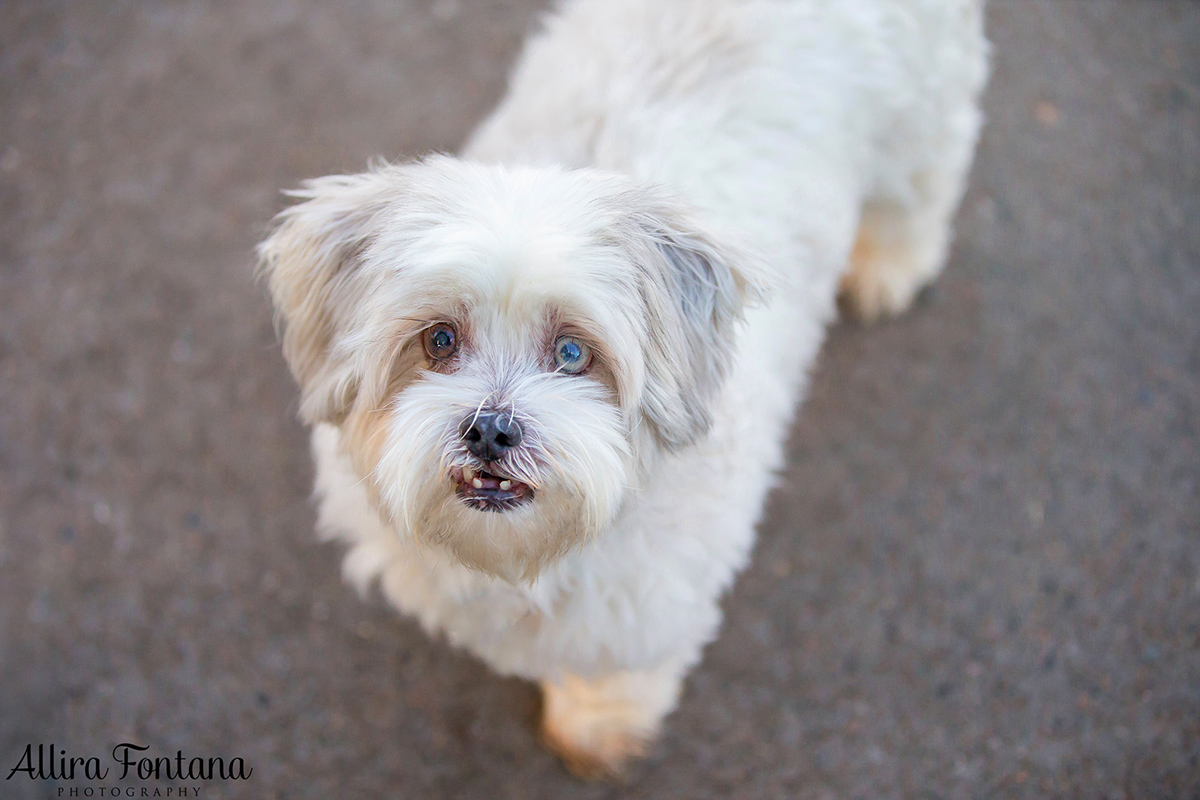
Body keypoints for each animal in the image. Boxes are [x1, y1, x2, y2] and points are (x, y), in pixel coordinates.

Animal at [255, 0, 984, 777]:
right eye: (439, 340)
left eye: (574, 352)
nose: (490, 429)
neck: (523, 559)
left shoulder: (651, 601)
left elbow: (614, 668)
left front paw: (598, 726)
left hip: (922, 117)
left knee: (924, 186)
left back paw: (888, 267)